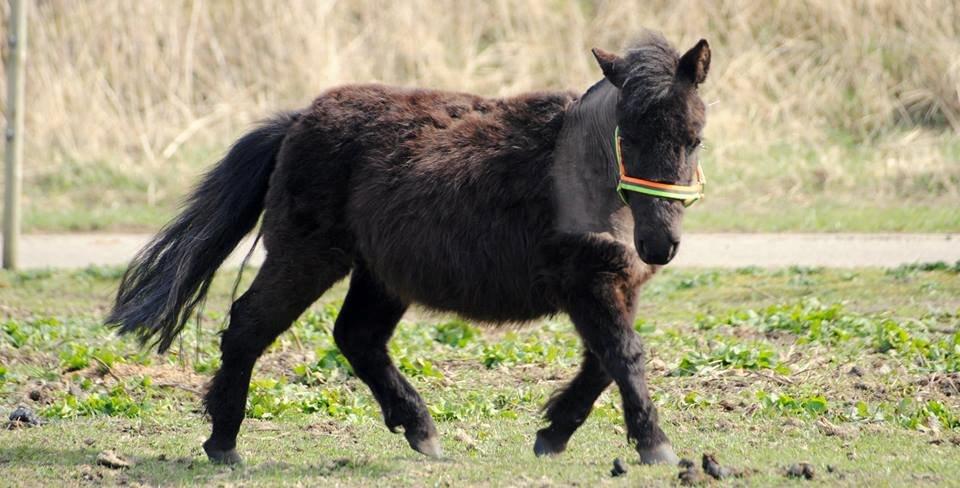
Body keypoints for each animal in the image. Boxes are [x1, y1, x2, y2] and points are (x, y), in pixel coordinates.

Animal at [109, 32, 708, 468]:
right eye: (627, 135)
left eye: (694, 138)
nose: (659, 245)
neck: (583, 175)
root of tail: (298, 121)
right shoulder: (589, 283)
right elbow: (624, 355)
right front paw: (655, 446)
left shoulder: (614, 285)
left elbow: (603, 363)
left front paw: (553, 433)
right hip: (306, 259)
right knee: (248, 327)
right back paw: (224, 443)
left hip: (379, 276)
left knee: (356, 338)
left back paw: (420, 430)